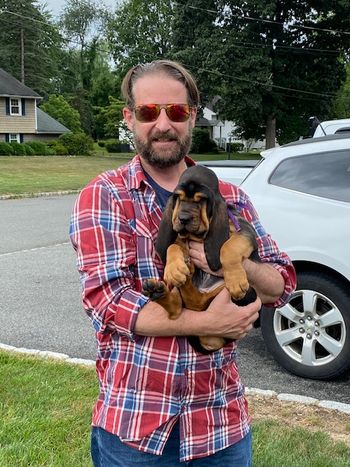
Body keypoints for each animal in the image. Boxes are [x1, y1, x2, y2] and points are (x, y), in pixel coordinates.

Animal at [142, 166, 260, 352]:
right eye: (179, 197)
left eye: (201, 200)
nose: (183, 218)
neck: (199, 236)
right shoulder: (181, 239)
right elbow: (172, 247)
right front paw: (174, 269)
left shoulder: (245, 232)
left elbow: (228, 247)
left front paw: (235, 280)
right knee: (179, 309)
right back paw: (162, 288)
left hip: (247, 294)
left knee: (197, 302)